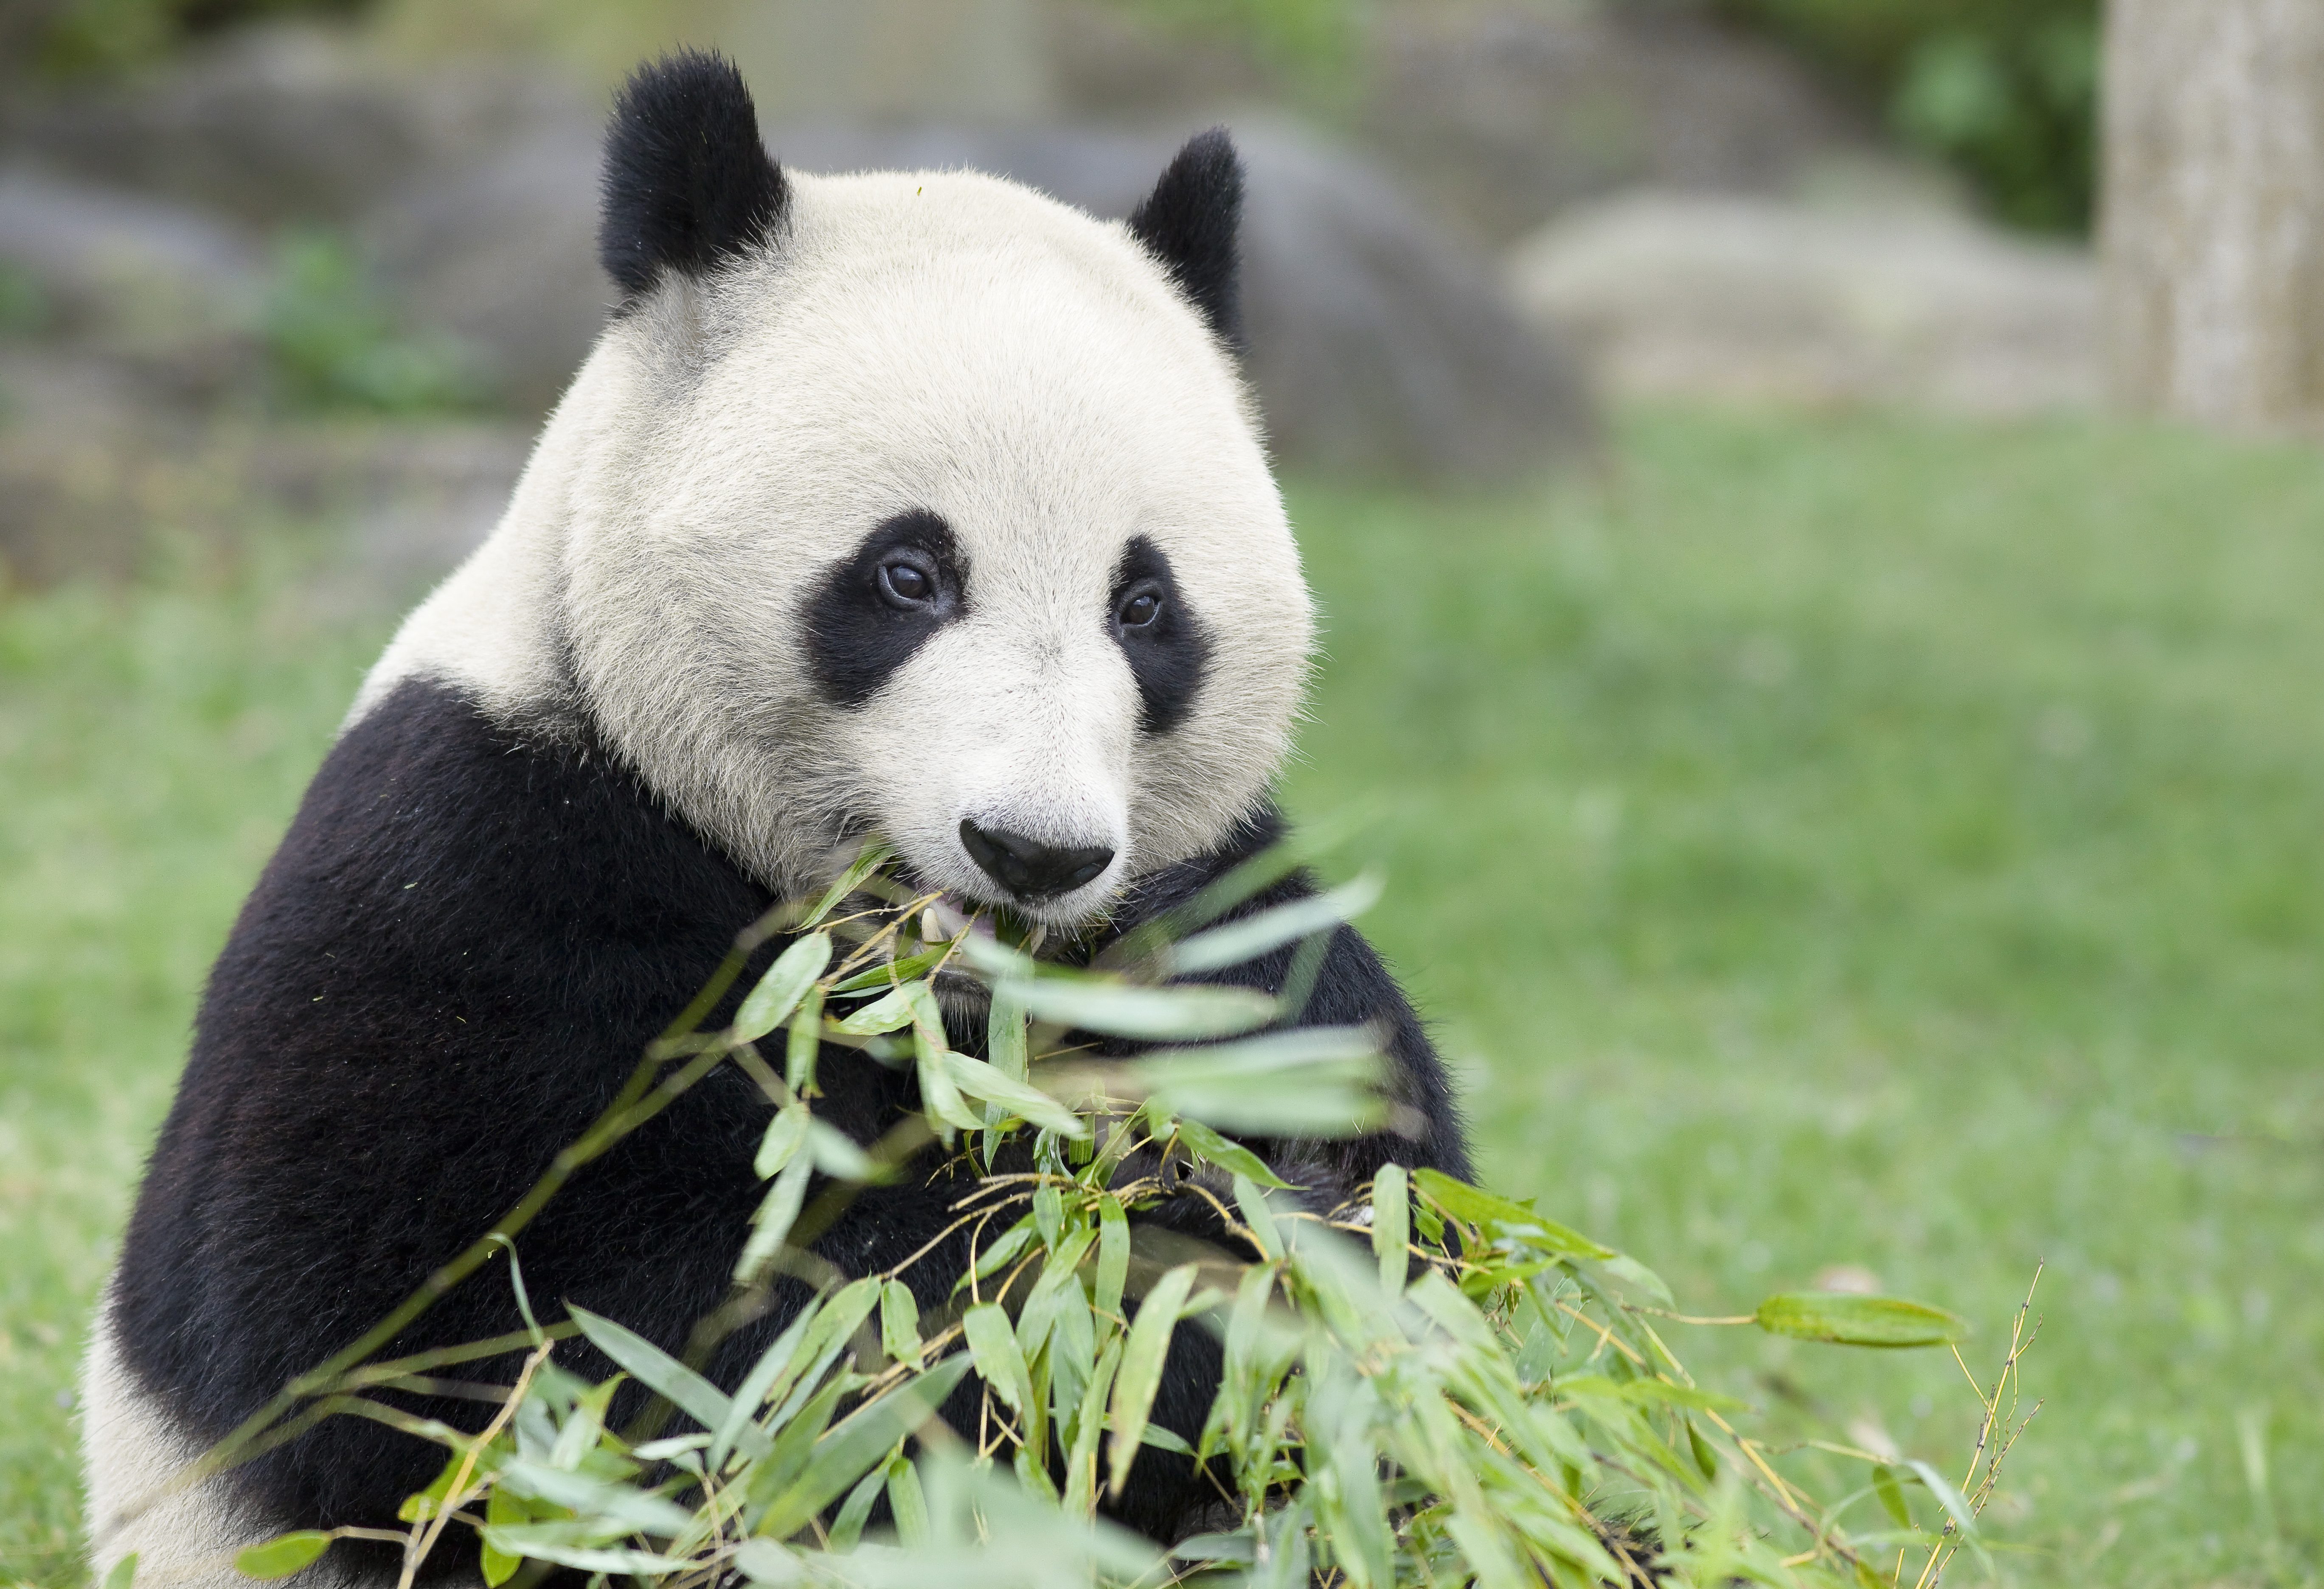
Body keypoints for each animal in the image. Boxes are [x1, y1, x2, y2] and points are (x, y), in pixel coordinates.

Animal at [82, 51, 1470, 1587]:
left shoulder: (1245, 907)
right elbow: (520, 1348)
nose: (1032, 852)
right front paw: (1178, 1267)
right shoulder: (476, 861)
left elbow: (1395, 1178)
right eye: (908, 573)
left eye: (1144, 604)